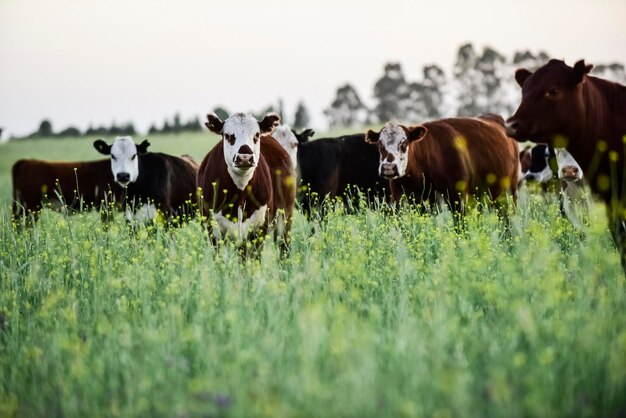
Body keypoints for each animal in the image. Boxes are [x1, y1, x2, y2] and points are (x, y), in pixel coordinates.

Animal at [196, 112, 296, 248]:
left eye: (257, 134)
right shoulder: (214, 230)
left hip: (285, 219)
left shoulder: (259, 229)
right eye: (227, 135)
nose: (245, 157)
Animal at [364, 116, 520, 211]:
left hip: (509, 191)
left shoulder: (457, 195)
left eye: (404, 144)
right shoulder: (401, 196)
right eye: (379, 145)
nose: (388, 168)